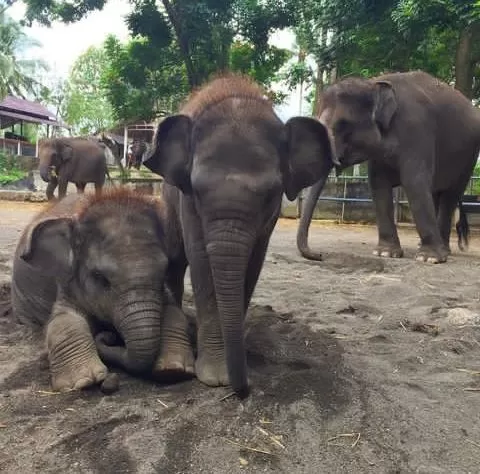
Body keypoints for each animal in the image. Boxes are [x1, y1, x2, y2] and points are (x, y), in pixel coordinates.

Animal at [9, 189, 193, 392]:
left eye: (165, 270)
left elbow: (174, 312)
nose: (108, 337)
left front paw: (173, 370)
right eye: (100, 277)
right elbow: (63, 320)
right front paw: (83, 381)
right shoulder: (67, 281)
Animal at [142, 74, 334, 398]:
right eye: (196, 189)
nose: (243, 391)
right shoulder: (186, 204)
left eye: (271, 194)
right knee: (178, 262)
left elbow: (252, 265)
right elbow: (201, 263)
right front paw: (215, 378)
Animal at [296, 70, 480, 262]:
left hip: (469, 155)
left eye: (343, 124)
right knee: (436, 194)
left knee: (450, 195)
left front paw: (428, 259)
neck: (373, 83)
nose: (319, 254)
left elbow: (414, 183)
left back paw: (442, 251)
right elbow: (378, 185)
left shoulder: (417, 129)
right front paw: (385, 253)